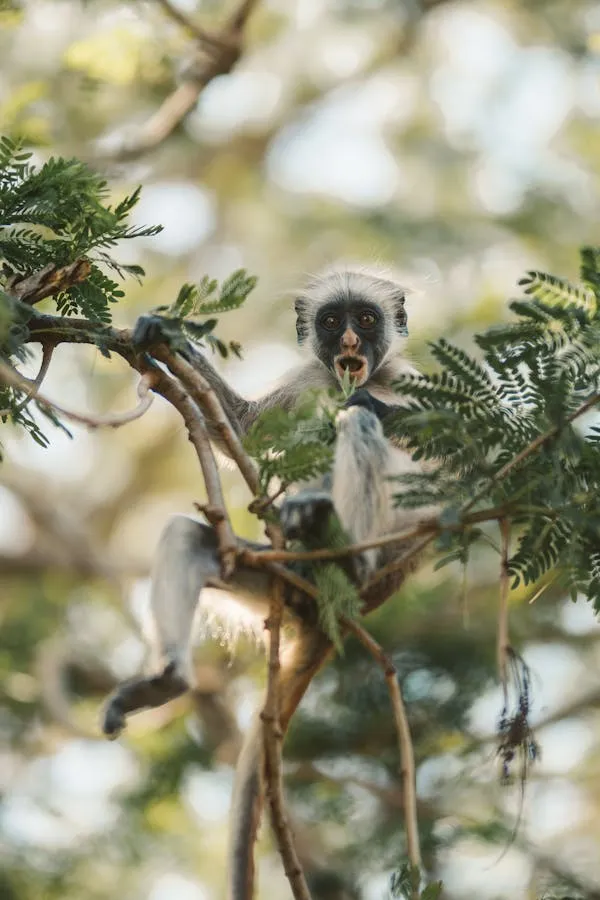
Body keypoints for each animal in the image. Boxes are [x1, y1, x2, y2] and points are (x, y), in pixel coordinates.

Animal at [103, 268, 424, 900]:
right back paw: (166, 682)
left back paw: (338, 535)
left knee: (361, 428)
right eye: (331, 320)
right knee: (188, 537)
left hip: (379, 558)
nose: (350, 340)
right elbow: (246, 433)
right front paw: (169, 340)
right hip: (278, 576)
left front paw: (369, 403)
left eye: (367, 319)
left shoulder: (407, 381)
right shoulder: (308, 380)